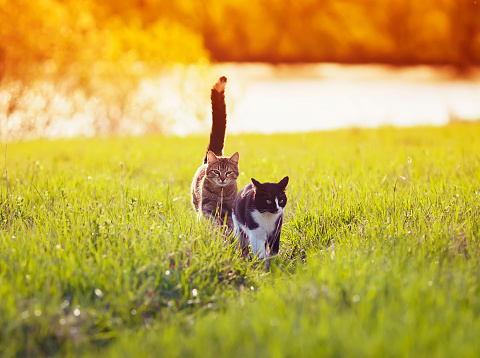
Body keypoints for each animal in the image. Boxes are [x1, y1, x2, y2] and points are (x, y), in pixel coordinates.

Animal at [191, 77, 240, 229]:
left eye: (228, 172)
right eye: (216, 172)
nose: (222, 178)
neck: (221, 193)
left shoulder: (229, 210)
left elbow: (230, 224)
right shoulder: (207, 208)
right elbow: (212, 222)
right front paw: (216, 232)